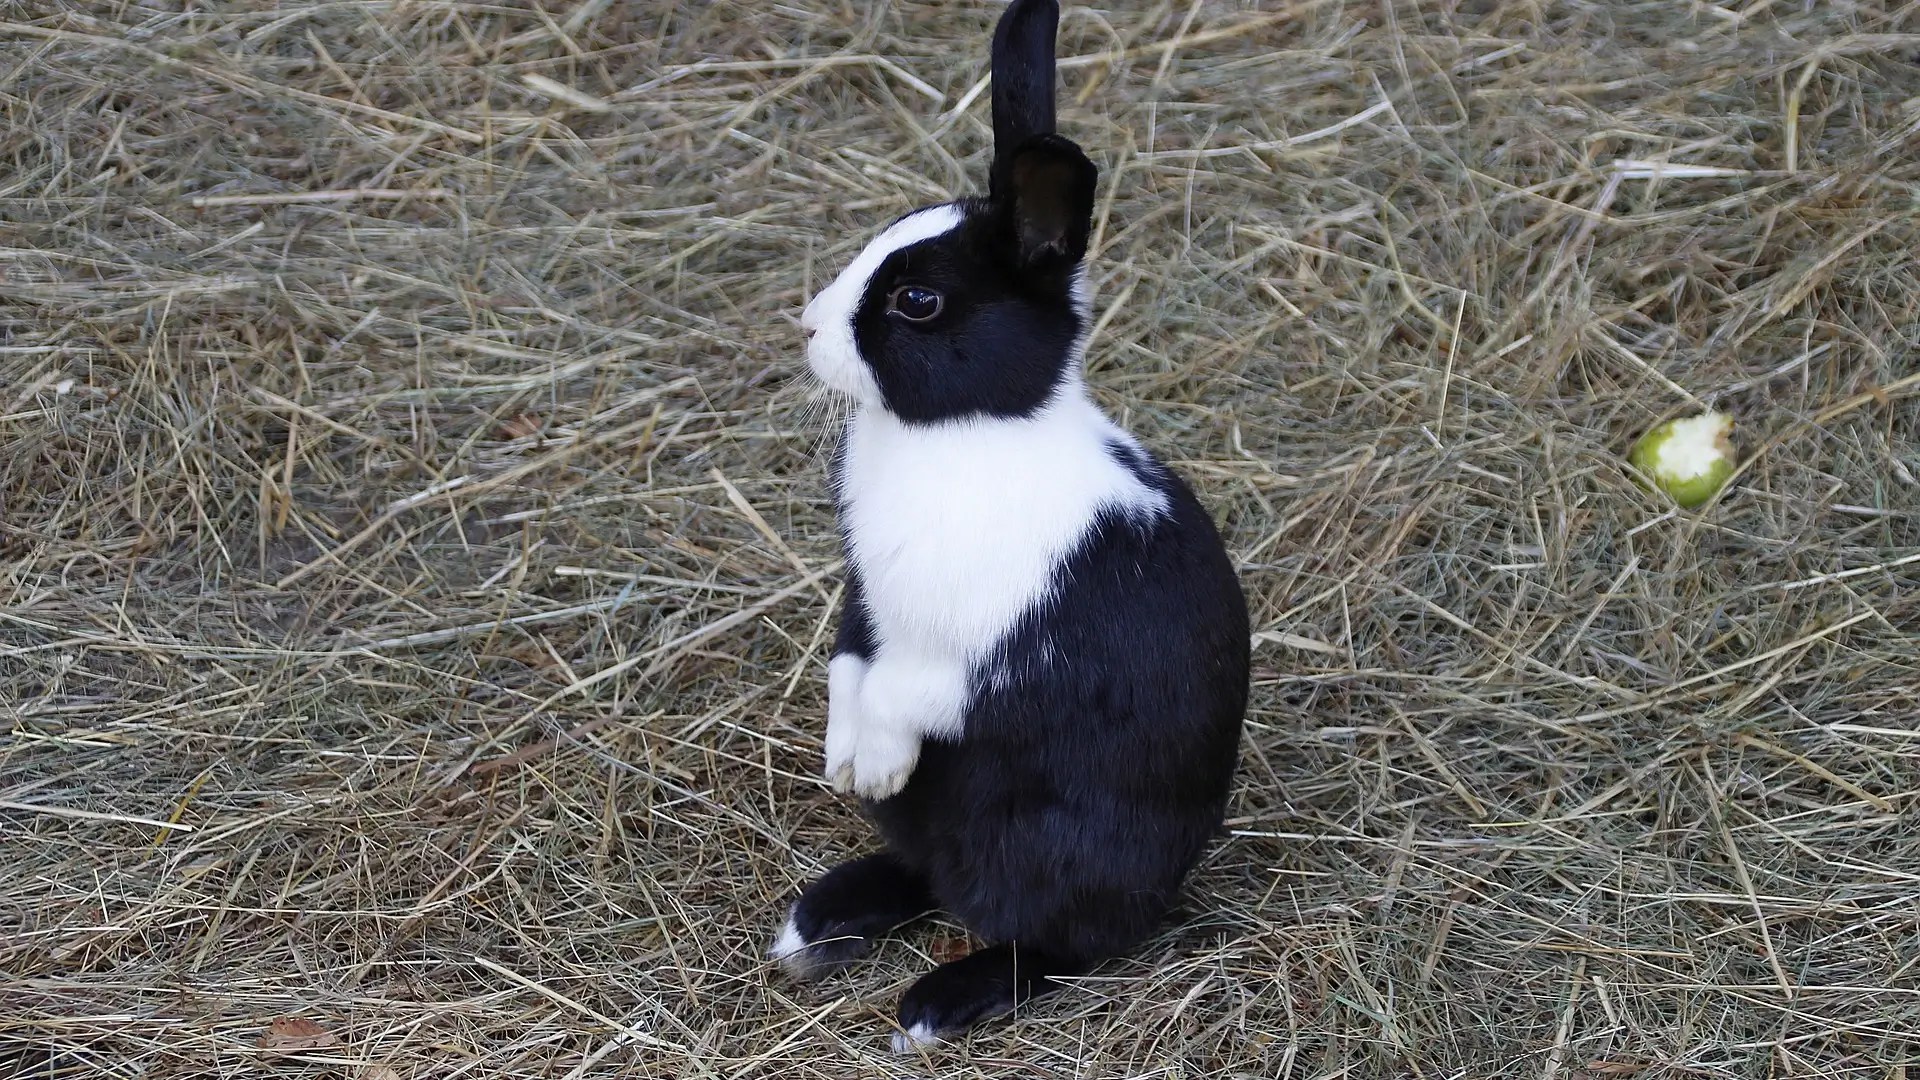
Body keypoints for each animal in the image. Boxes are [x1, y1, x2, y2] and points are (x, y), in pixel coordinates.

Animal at [770, 0, 1250, 1051]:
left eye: (916, 301)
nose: (808, 328)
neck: (968, 430)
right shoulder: (867, 603)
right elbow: (848, 666)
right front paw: (844, 764)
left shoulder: (987, 654)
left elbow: (908, 694)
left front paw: (870, 764)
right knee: (928, 876)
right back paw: (820, 919)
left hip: (1060, 856)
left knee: (1057, 944)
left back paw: (936, 1004)